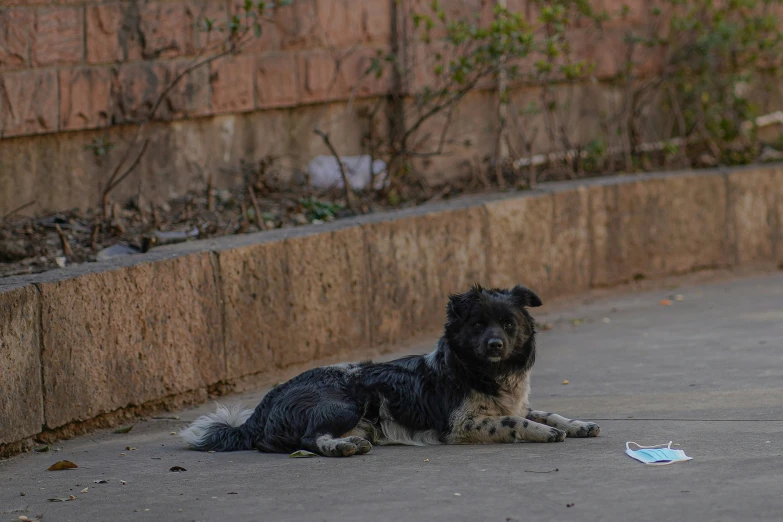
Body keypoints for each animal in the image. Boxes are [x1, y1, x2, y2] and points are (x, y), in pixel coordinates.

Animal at [182, 282, 600, 452]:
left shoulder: (515, 402)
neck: (481, 371)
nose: (495, 344)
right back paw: (343, 447)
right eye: (478, 325)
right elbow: (514, 421)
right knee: (307, 439)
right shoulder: (461, 425)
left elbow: (544, 412)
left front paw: (577, 424)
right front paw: (542, 433)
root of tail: (265, 403)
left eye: (509, 324)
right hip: (344, 401)